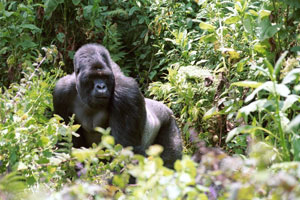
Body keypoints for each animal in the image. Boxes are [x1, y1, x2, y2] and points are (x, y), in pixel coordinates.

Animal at [52, 44, 182, 169]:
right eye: (92, 77)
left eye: (104, 77)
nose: (101, 87)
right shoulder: (61, 92)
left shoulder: (126, 93)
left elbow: (125, 152)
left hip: (169, 121)